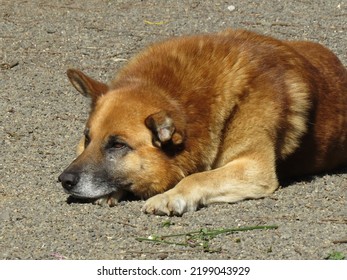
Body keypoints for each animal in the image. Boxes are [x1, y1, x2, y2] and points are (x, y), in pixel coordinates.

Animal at [59, 28, 347, 215]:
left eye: (118, 145)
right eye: (87, 138)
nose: (64, 180)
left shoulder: (254, 167)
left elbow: (197, 178)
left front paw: (171, 196)